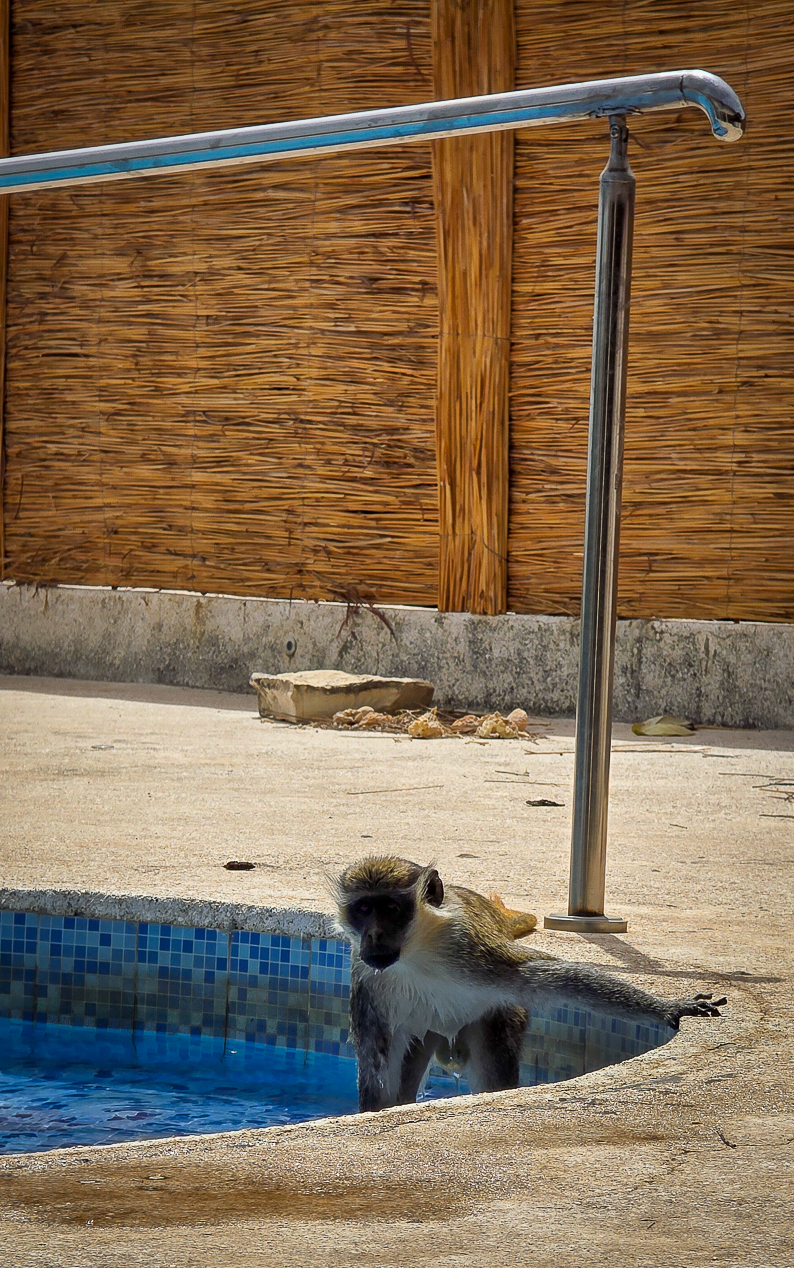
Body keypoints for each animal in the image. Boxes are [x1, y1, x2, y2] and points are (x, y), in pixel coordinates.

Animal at [335, 856, 727, 1113]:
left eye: (390, 907)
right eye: (364, 909)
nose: (374, 935)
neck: (416, 950)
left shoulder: (471, 949)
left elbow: (552, 976)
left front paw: (669, 1007)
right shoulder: (366, 976)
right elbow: (377, 1070)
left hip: (497, 1017)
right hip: (426, 1032)